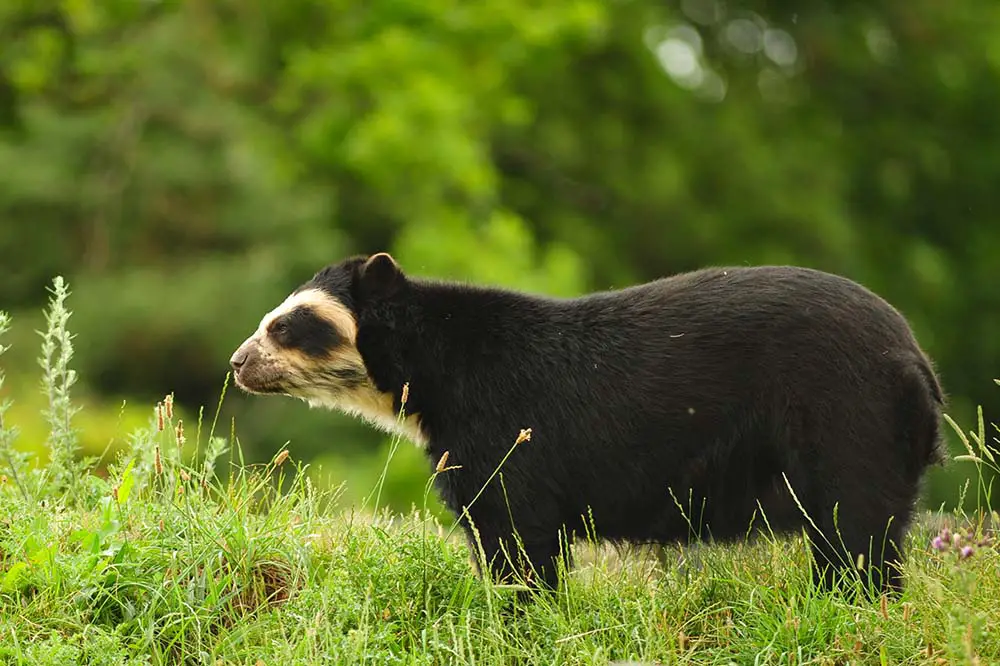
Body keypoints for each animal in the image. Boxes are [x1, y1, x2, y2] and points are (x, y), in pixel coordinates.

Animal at [227, 252, 944, 592]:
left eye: (286, 325)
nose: (237, 363)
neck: (434, 375)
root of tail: (914, 355)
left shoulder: (501, 429)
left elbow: (516, 534)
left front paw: (518, 617)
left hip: (844, 415)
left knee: (856, 527)